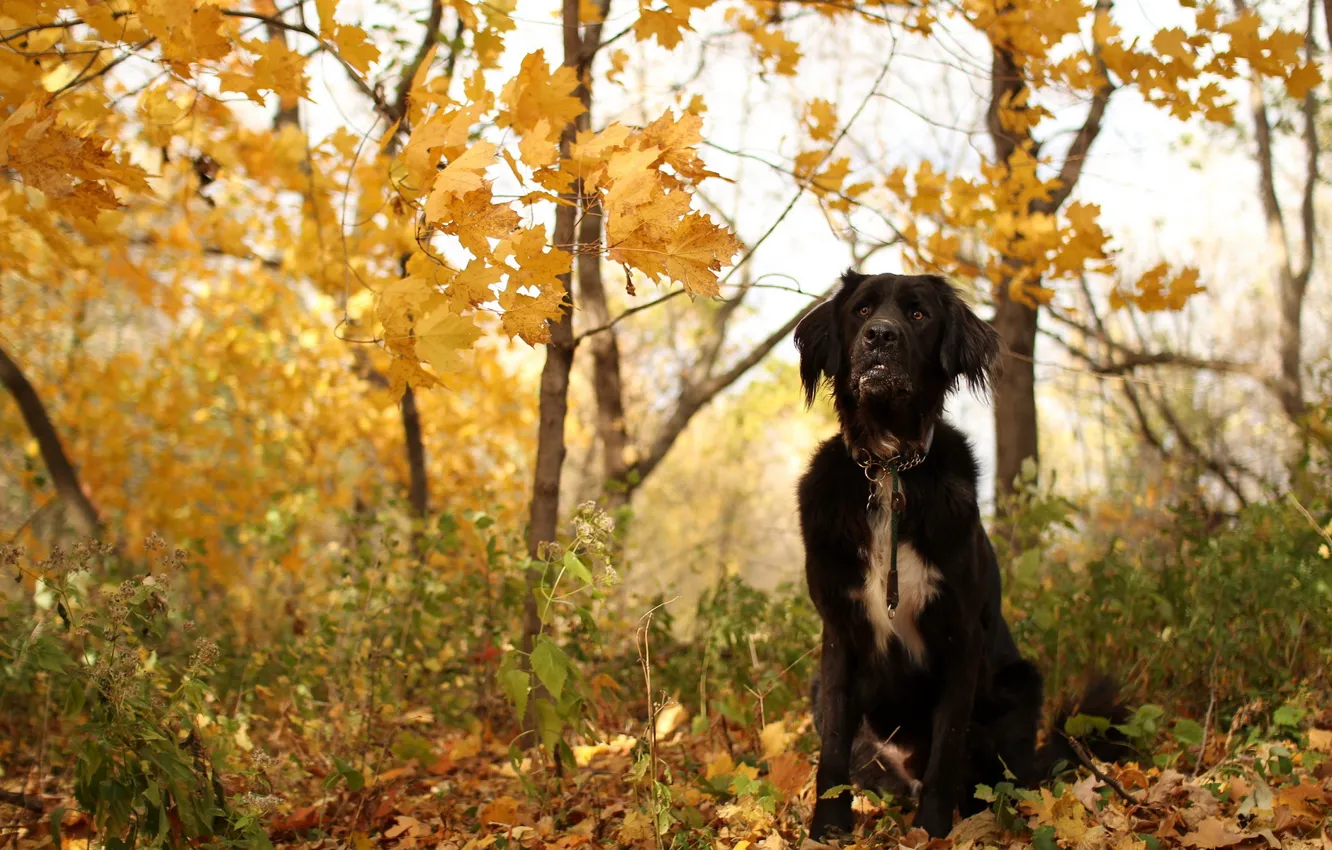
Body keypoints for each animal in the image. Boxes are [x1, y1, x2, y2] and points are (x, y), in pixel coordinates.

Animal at [793, 271, 1129, 842]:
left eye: (918, 314)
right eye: (861, 311)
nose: (880, 337)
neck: (890, 470)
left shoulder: (960, 636)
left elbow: (946, 750)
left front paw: (931, 832)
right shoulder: (838, 633)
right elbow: (832, 750)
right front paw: (828, 831)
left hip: (1019, 687)